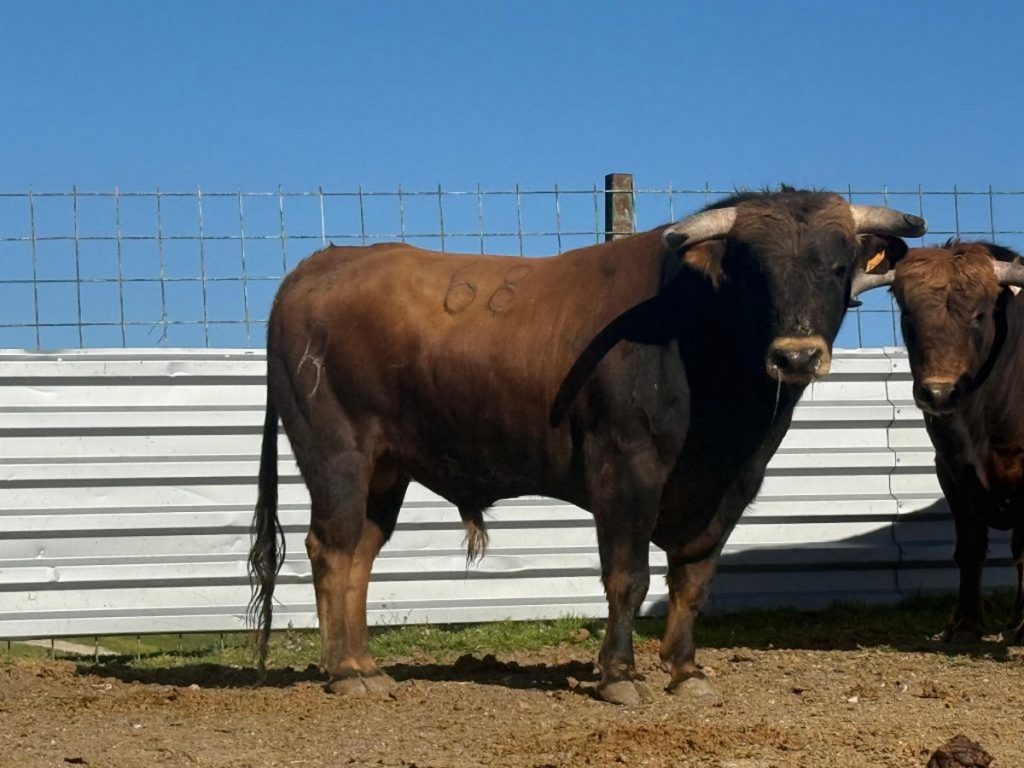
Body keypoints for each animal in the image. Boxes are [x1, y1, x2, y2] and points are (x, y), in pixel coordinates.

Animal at [248, 188, 925, 705]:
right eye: (754, 273)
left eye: (838, 266)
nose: (797, 356)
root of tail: (317, 268)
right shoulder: (626, 470)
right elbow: (629, 575)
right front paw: (620, 675)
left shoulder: (731, 485)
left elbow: (694, 580)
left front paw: (686, 672)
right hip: (336, 453)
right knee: (332, 548)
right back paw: (343, 673)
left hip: (385, 470)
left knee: (361, 552)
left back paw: (366, 666)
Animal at [863, 240, 1024, 643]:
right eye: (907, 314)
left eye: (980, 314)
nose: (939, 392)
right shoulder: (950, 469)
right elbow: (968, 548)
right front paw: (965, 625)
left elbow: (1022, 549)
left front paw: (1020, 627)